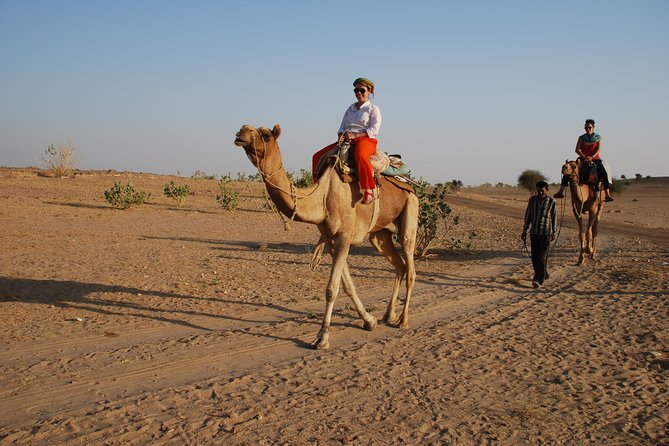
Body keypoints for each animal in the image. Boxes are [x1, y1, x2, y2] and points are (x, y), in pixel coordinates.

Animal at [233, 124, 419, 349]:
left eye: (266, 134)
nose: (241, 132)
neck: (322, 197)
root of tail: (408, 183)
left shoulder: (344, 236)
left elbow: (332, 289)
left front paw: (322, 337)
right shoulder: (331, 239)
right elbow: (346, 285)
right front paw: (369, 321)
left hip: (410, 209)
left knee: (410, 265)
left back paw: (403, 320)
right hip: (379, 233)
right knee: (399, 265)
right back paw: (388, 315)